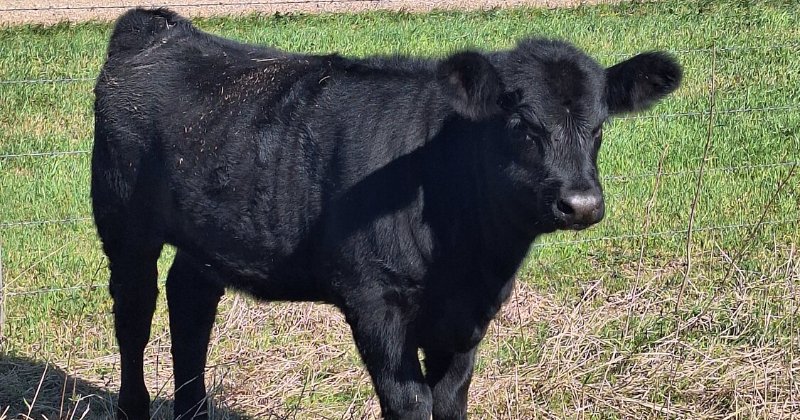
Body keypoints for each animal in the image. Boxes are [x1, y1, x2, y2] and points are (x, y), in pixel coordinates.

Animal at [92, 7, 682, 420]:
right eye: (522, 125)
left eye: (599, 126)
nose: (581, 203)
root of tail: (159, 25)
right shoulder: (376, 300)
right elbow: (409, 403)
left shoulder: (467, 316)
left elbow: (449, 401)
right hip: (124, 222)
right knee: (134, 315)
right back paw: (133, 407)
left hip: (207, 232)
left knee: (190, 300)